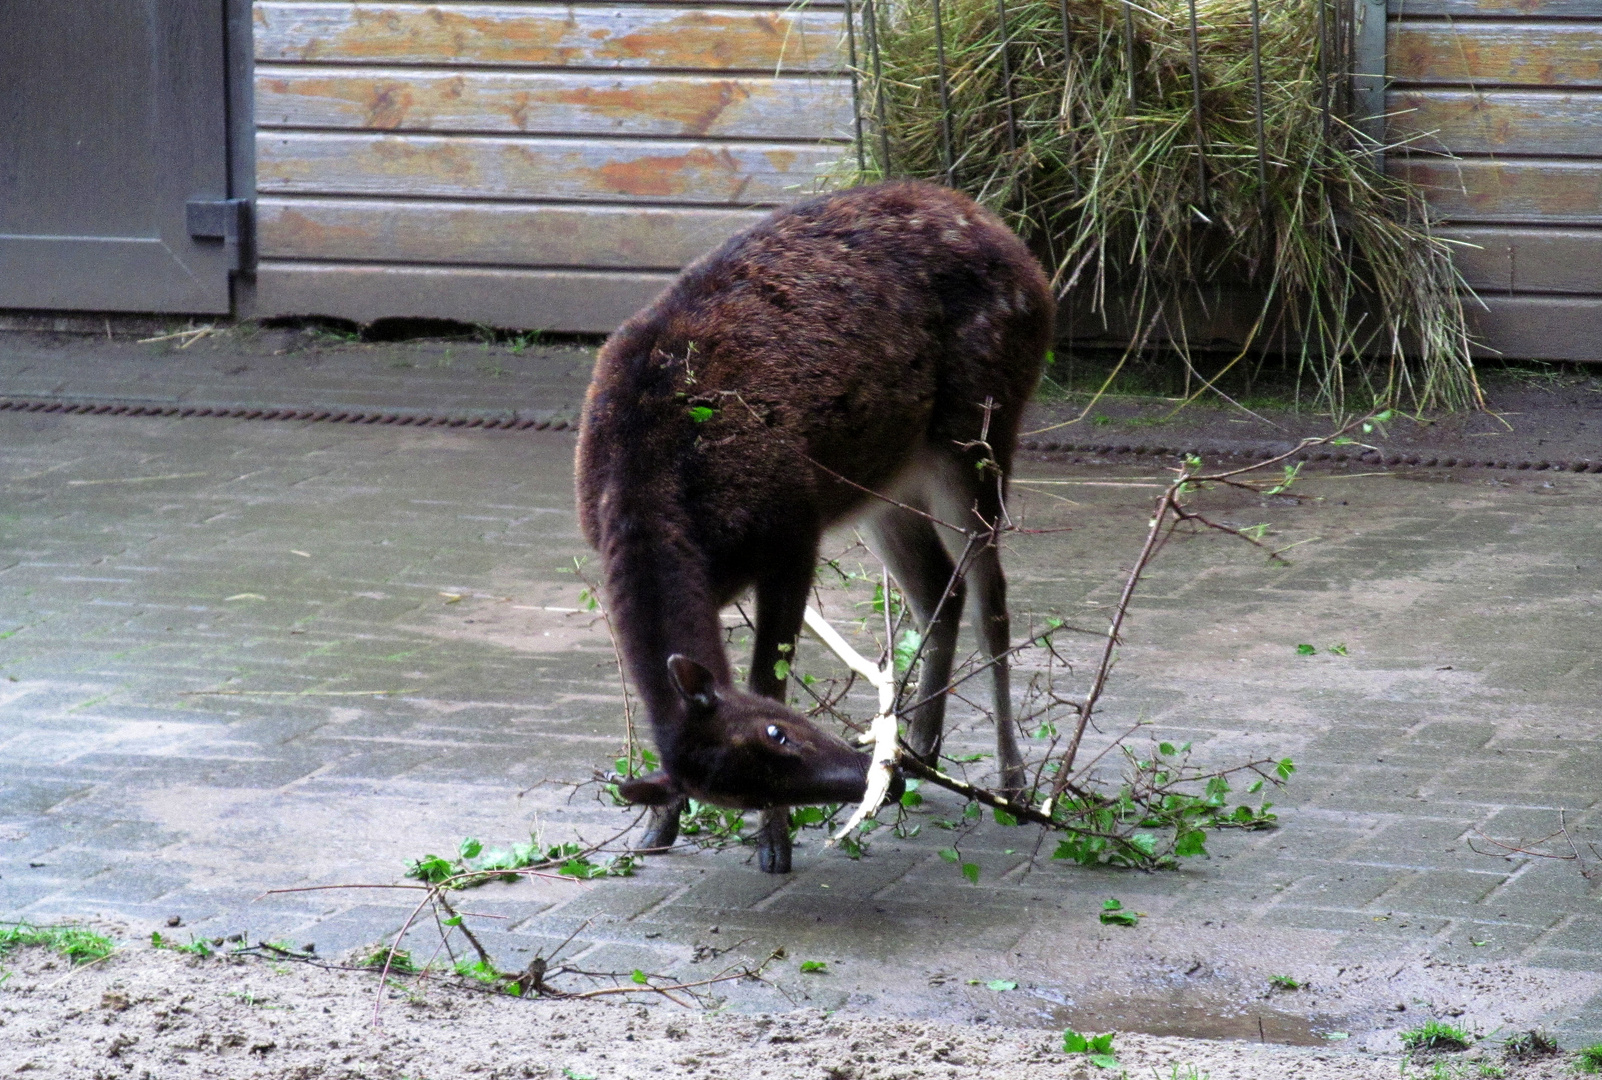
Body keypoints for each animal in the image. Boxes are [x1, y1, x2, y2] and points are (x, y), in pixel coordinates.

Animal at [573, 178, 1050, 865]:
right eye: (735, 796)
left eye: (778, 733)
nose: (879, 785)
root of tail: (1015, 244)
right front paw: (657, 830)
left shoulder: (792, 532)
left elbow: (767, 675)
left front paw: (774, 848)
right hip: (882, 483)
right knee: (940, 587)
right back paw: (923, 751)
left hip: (982, 427)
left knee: (993, 598)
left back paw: (1012, 784)